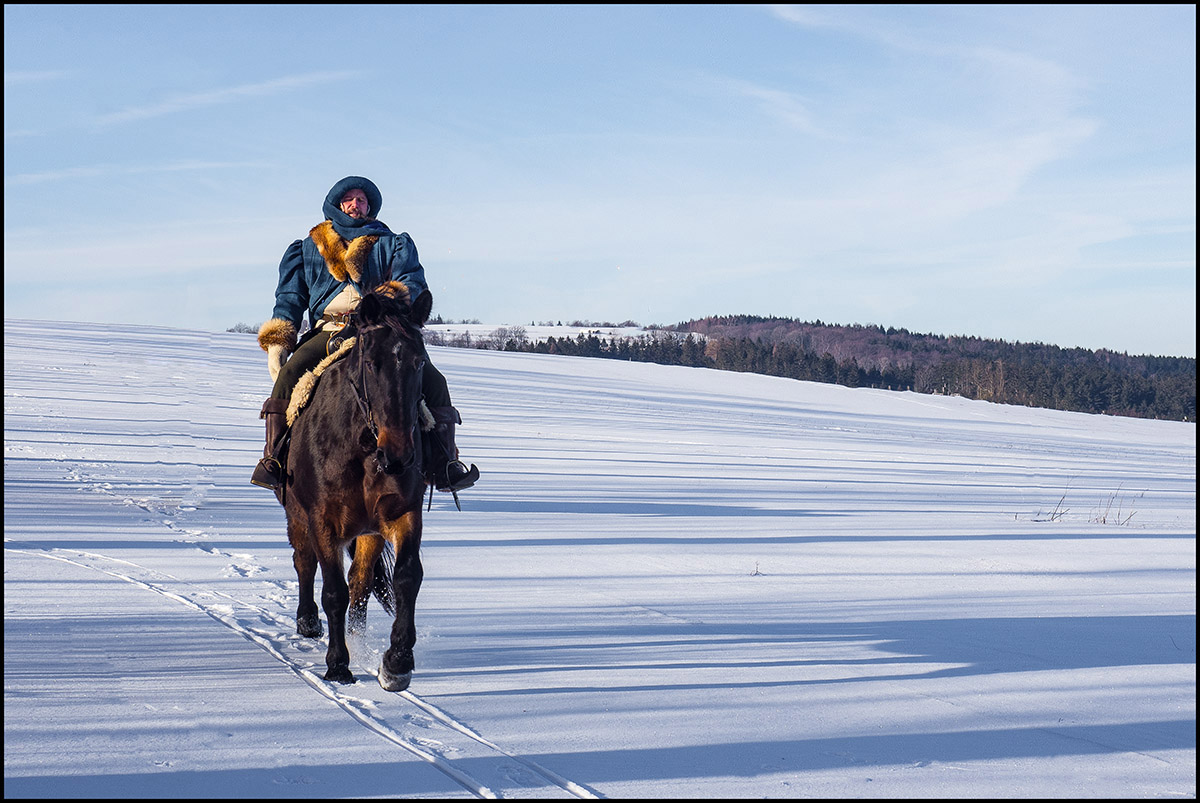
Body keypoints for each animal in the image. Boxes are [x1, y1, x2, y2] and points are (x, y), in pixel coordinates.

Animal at [280, 288, 432, 691]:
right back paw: (307, 621)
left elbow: (407, 577)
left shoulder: (400, 514)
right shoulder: (322, 521)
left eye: (420, 363)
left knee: (360, 582)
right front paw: (338, 664)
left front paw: (397, 662)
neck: (362, 447)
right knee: (304, 563)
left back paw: (357, 639)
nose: (398, 454)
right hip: (296, 516)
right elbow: (333, 591)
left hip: (368, 532)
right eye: (372, 363)